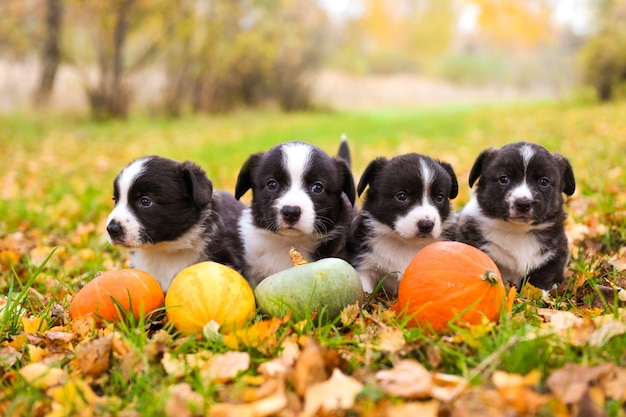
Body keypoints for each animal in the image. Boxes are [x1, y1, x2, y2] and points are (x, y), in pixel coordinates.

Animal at [454, 141, 576, 290]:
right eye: (504, 179)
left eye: (544, 181)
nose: (523, 203)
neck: (517, 230)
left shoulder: (555, 254)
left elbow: (542, 279)